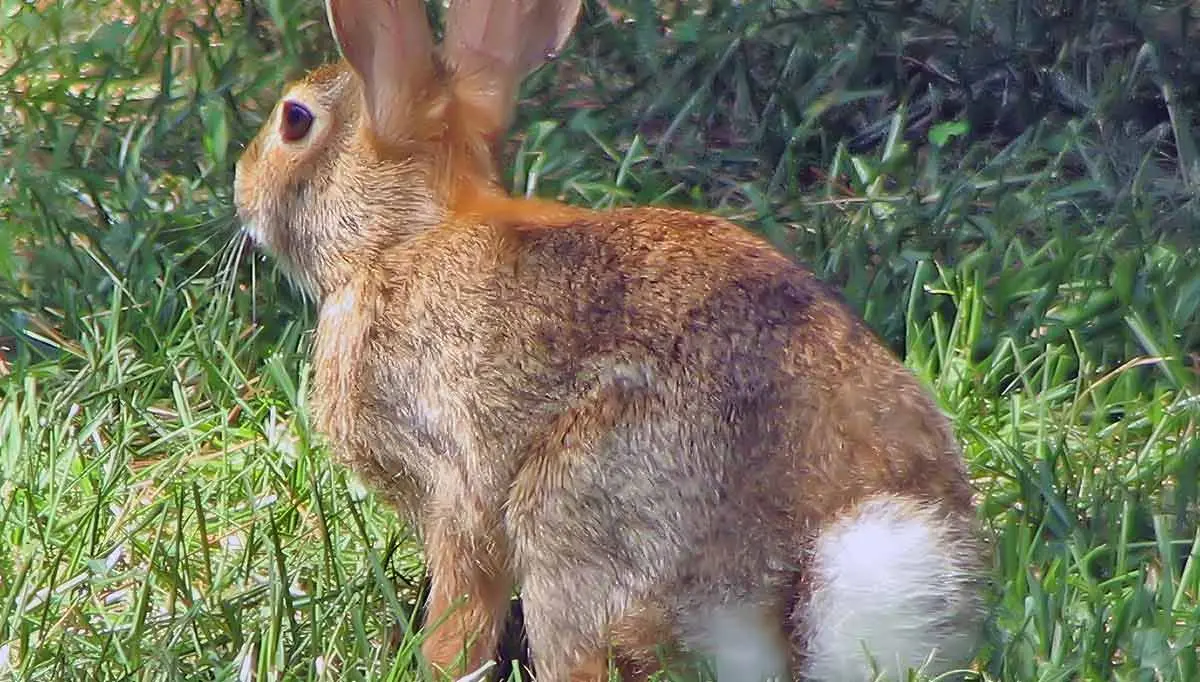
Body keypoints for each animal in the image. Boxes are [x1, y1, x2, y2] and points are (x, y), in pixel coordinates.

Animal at [231, 1, 984, 682]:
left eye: (295, 120)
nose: (241, 186)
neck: (398, 239)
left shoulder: (452, 478)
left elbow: (464, 593)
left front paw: (440, 665)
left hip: (576, 515)